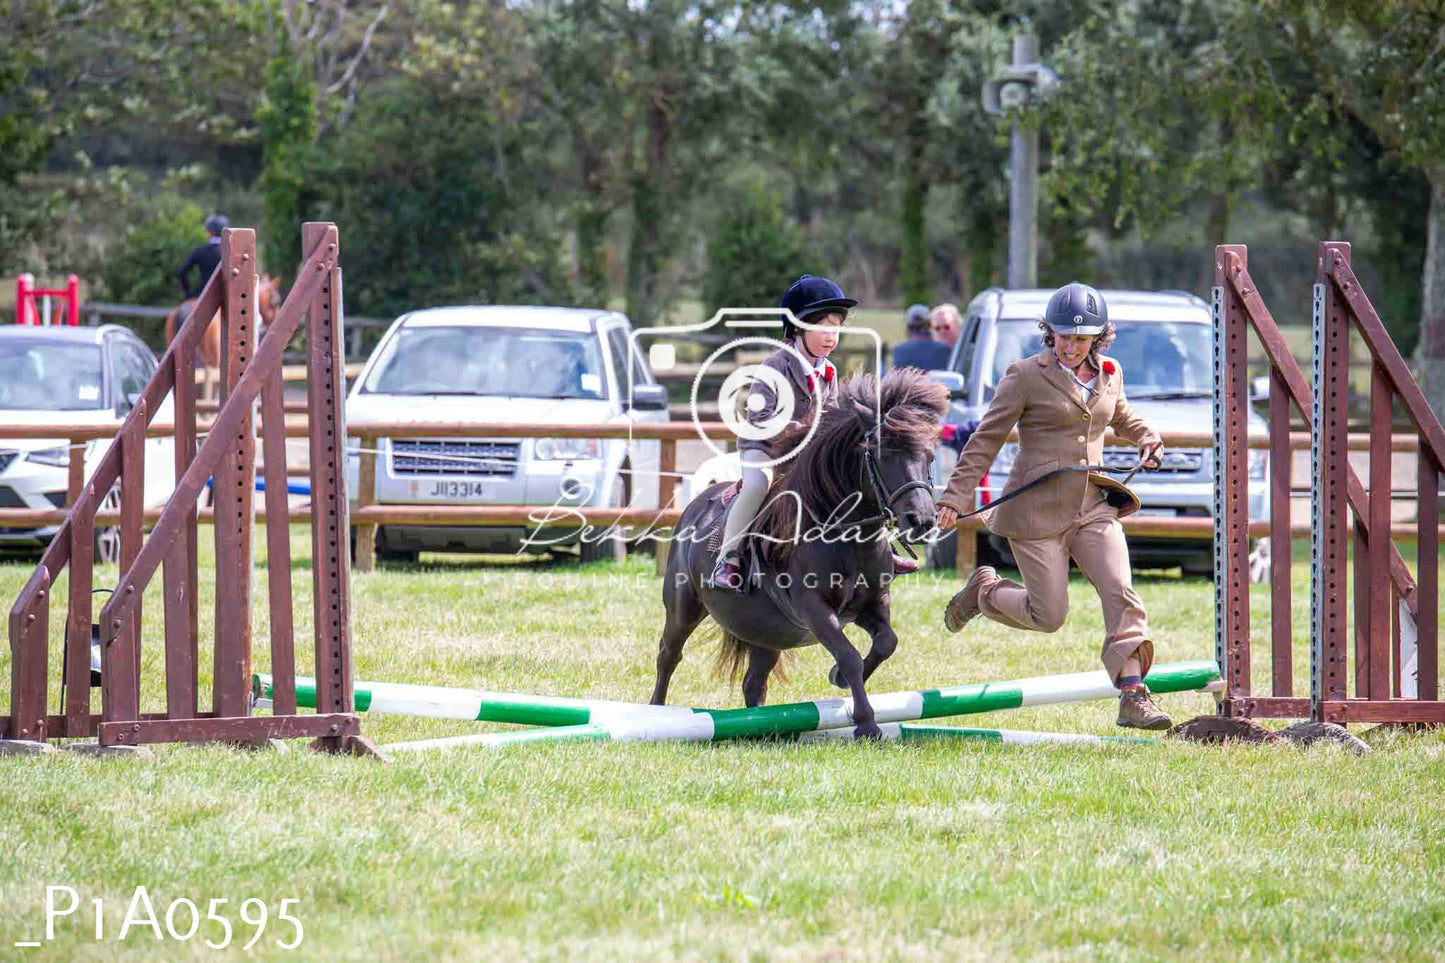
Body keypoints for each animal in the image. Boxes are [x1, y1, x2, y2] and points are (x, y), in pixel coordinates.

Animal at [647, 365, 947, 734]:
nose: (922, 521)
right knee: (668, 655)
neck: (848, 540)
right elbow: (848, 656)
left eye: (929, 456)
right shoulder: (814, 609)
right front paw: (866, 723)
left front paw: (841, 680)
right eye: (881, 455)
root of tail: (696, 506)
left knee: (753, 682)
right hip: (683, 608)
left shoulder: (874, 603)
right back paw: (657, 711)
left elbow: (886, 642)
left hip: (766, 633)